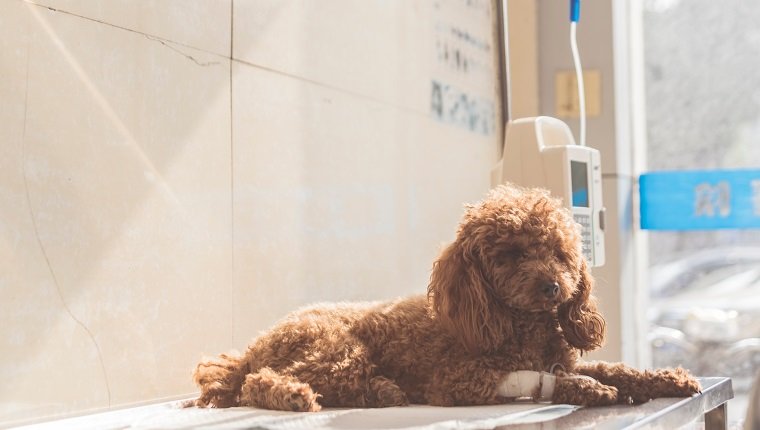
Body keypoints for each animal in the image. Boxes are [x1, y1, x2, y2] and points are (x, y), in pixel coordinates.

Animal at [191, 183, 700, 412]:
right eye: (512, 254)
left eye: (560, 253)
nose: (554, 287)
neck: (521, 325)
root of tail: (255, 344)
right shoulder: (459, 379)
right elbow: (541, 379)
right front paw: (590, 389)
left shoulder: (563, 355)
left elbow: (614, 367)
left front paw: (667, 378)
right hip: (338, 349)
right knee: (258, 384)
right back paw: (299, 395)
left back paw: (380, 391)